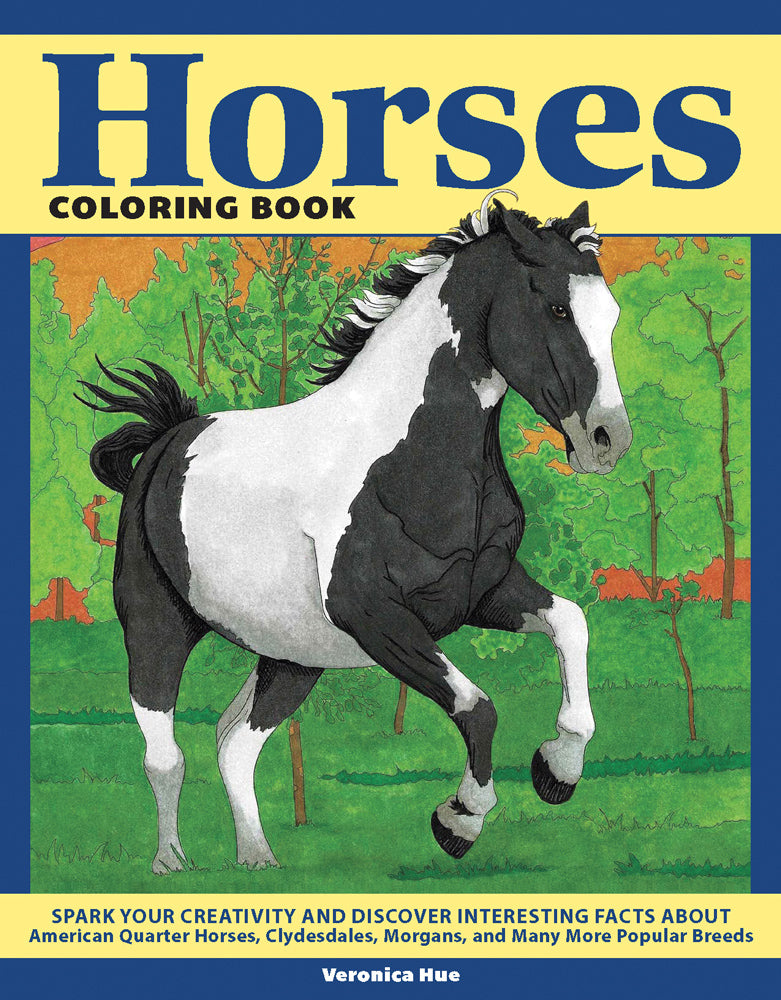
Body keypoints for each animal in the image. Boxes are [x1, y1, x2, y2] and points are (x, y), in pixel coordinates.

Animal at [79, 191, 632, 873]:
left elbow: (571, 623)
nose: (607, 441)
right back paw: (172, 865)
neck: (411, 461)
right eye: (556, 307)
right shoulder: (375, 616)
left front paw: (558, 770)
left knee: (235, 744)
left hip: (291, 657)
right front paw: (459, 820)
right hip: (158, 629)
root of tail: (166, 439)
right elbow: (477, 708)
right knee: (165, 757)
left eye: (610, 314)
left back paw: (259, 861)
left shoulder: (481, 593)